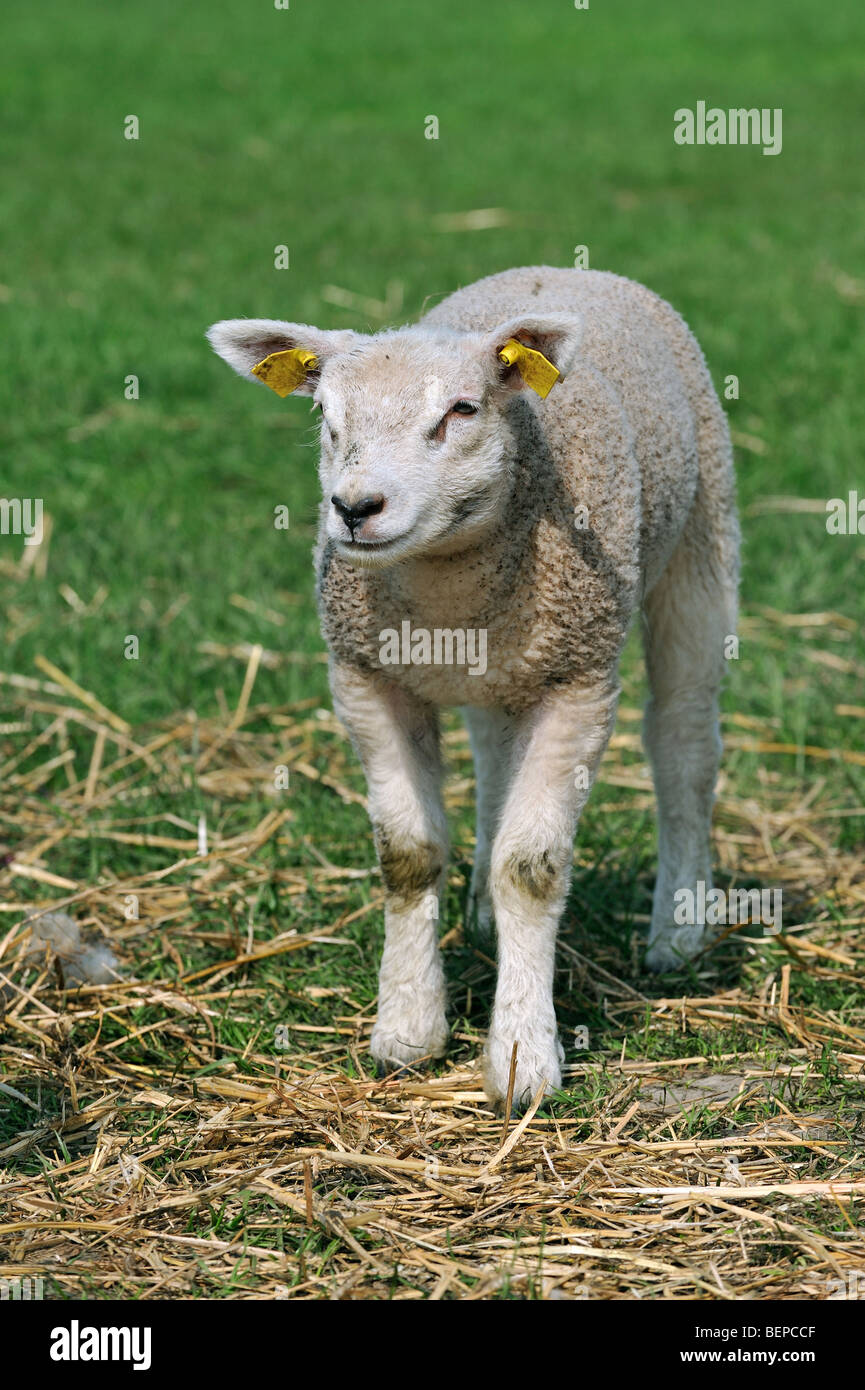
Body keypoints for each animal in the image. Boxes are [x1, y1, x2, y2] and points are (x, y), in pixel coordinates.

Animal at [207, 268, 739, 1106]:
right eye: (325, 416)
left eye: (460, 410)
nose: (355, 509)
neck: (447, 591)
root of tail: (569, 268)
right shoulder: (366, 678)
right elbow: (408, 854)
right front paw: (406, 1030)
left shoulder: (578, 680)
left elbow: (532, 867)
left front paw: (523, 1058)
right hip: (509, 666)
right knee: (495, 756)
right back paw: (485, 914)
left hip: (700, 537)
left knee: (682, 742)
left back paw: (677, 931)